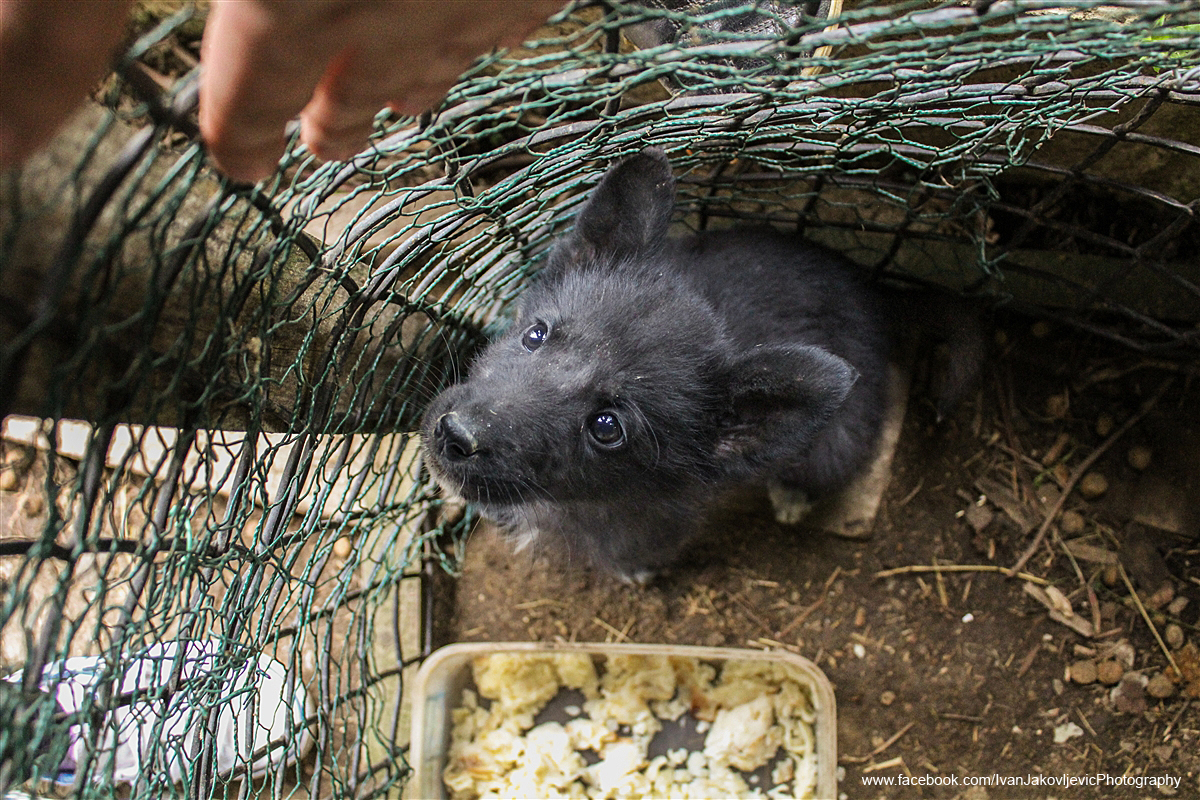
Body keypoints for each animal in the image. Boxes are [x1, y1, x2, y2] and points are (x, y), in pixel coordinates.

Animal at [421, 147, 979, 583]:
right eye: (535, 335)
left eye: (607, 427)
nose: (455, 435)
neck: (571, 501)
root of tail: (876, 292)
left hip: (836, 436)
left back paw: (790, 495)